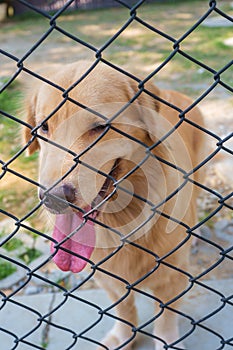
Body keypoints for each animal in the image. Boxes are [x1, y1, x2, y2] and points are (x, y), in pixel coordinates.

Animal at [23, 61, 205, 348]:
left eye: (100, 127)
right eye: (44, 127)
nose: (53, 198)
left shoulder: (172, 276)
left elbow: (165, 318)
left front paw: (167, 341)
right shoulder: (108, 276)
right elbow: (124, 309)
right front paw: (122, 337)